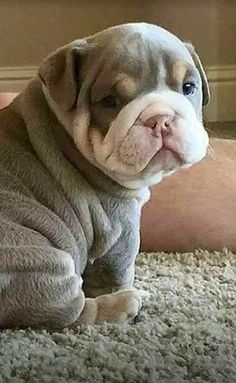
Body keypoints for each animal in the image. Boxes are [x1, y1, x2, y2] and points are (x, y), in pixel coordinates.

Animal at [0, 23, 209, 330]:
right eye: (110, 101)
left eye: (188, 88)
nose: (160, 118)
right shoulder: (121, 228)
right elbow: (117, 274)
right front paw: (125, 292)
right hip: (43, 260)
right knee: (72, 313)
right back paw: (124, 304)